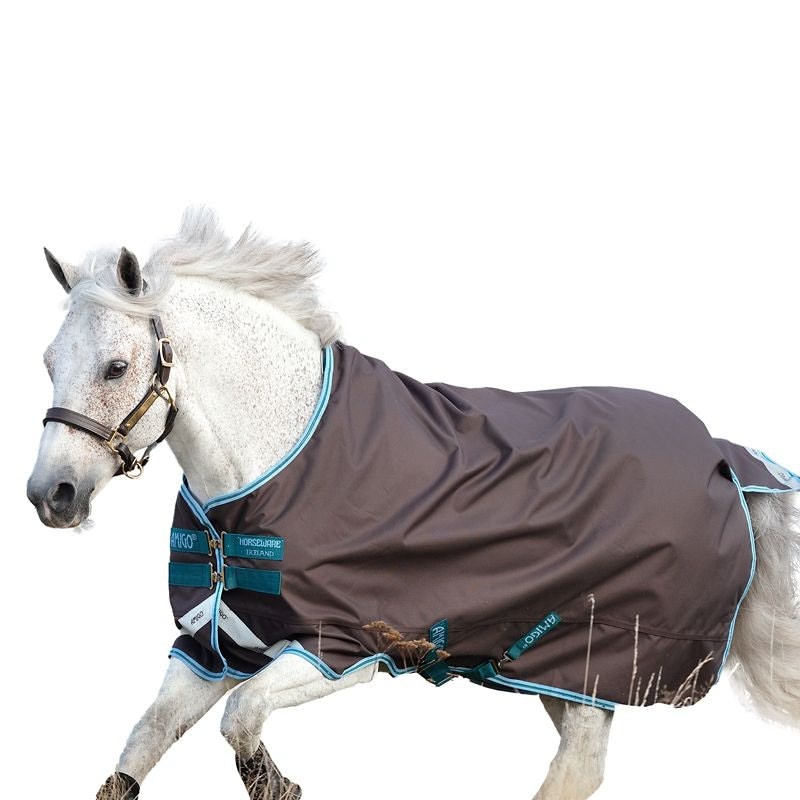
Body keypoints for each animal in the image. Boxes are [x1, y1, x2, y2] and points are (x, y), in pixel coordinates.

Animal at [27, 209, 800, 800]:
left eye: (116, 367)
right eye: (48, 361)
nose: (50, 495)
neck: (277, 460)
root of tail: (725, 456)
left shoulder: (338, 650)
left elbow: (240, 719)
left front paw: (279, 783)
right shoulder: (212, 647)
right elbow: (144, 741)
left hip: (594, 659)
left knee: (574, 772)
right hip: (557, 673)